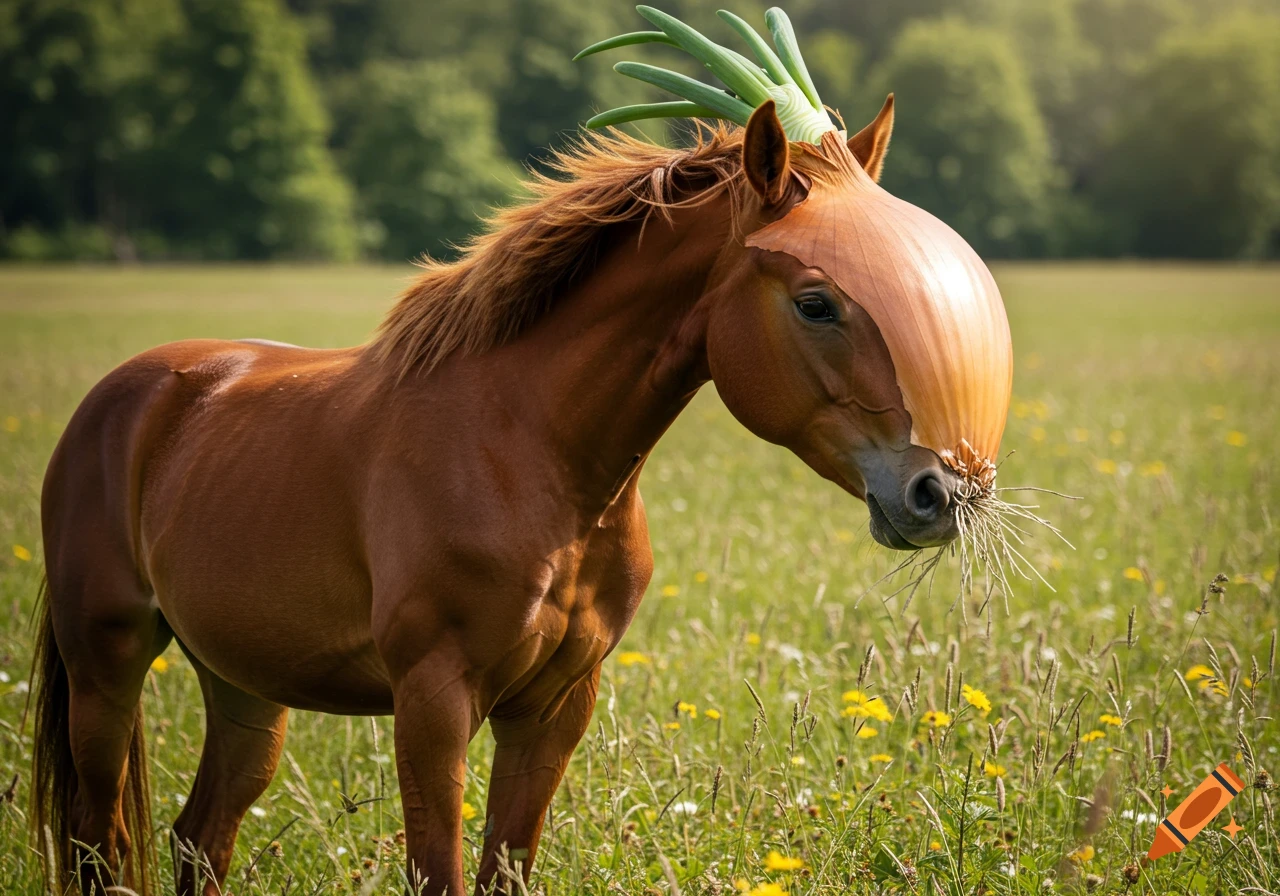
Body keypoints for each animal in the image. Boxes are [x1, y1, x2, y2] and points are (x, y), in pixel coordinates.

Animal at [30, 97, 1011, 895]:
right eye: (816, 302)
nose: (939, 490)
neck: (531, 455)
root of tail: (128, 395)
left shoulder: (554, 708)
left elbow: (508, 867)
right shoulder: (433, 701)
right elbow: (441, 873)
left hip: (242, 686)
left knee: (199, 841)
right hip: (107, 667)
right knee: (97, 844)